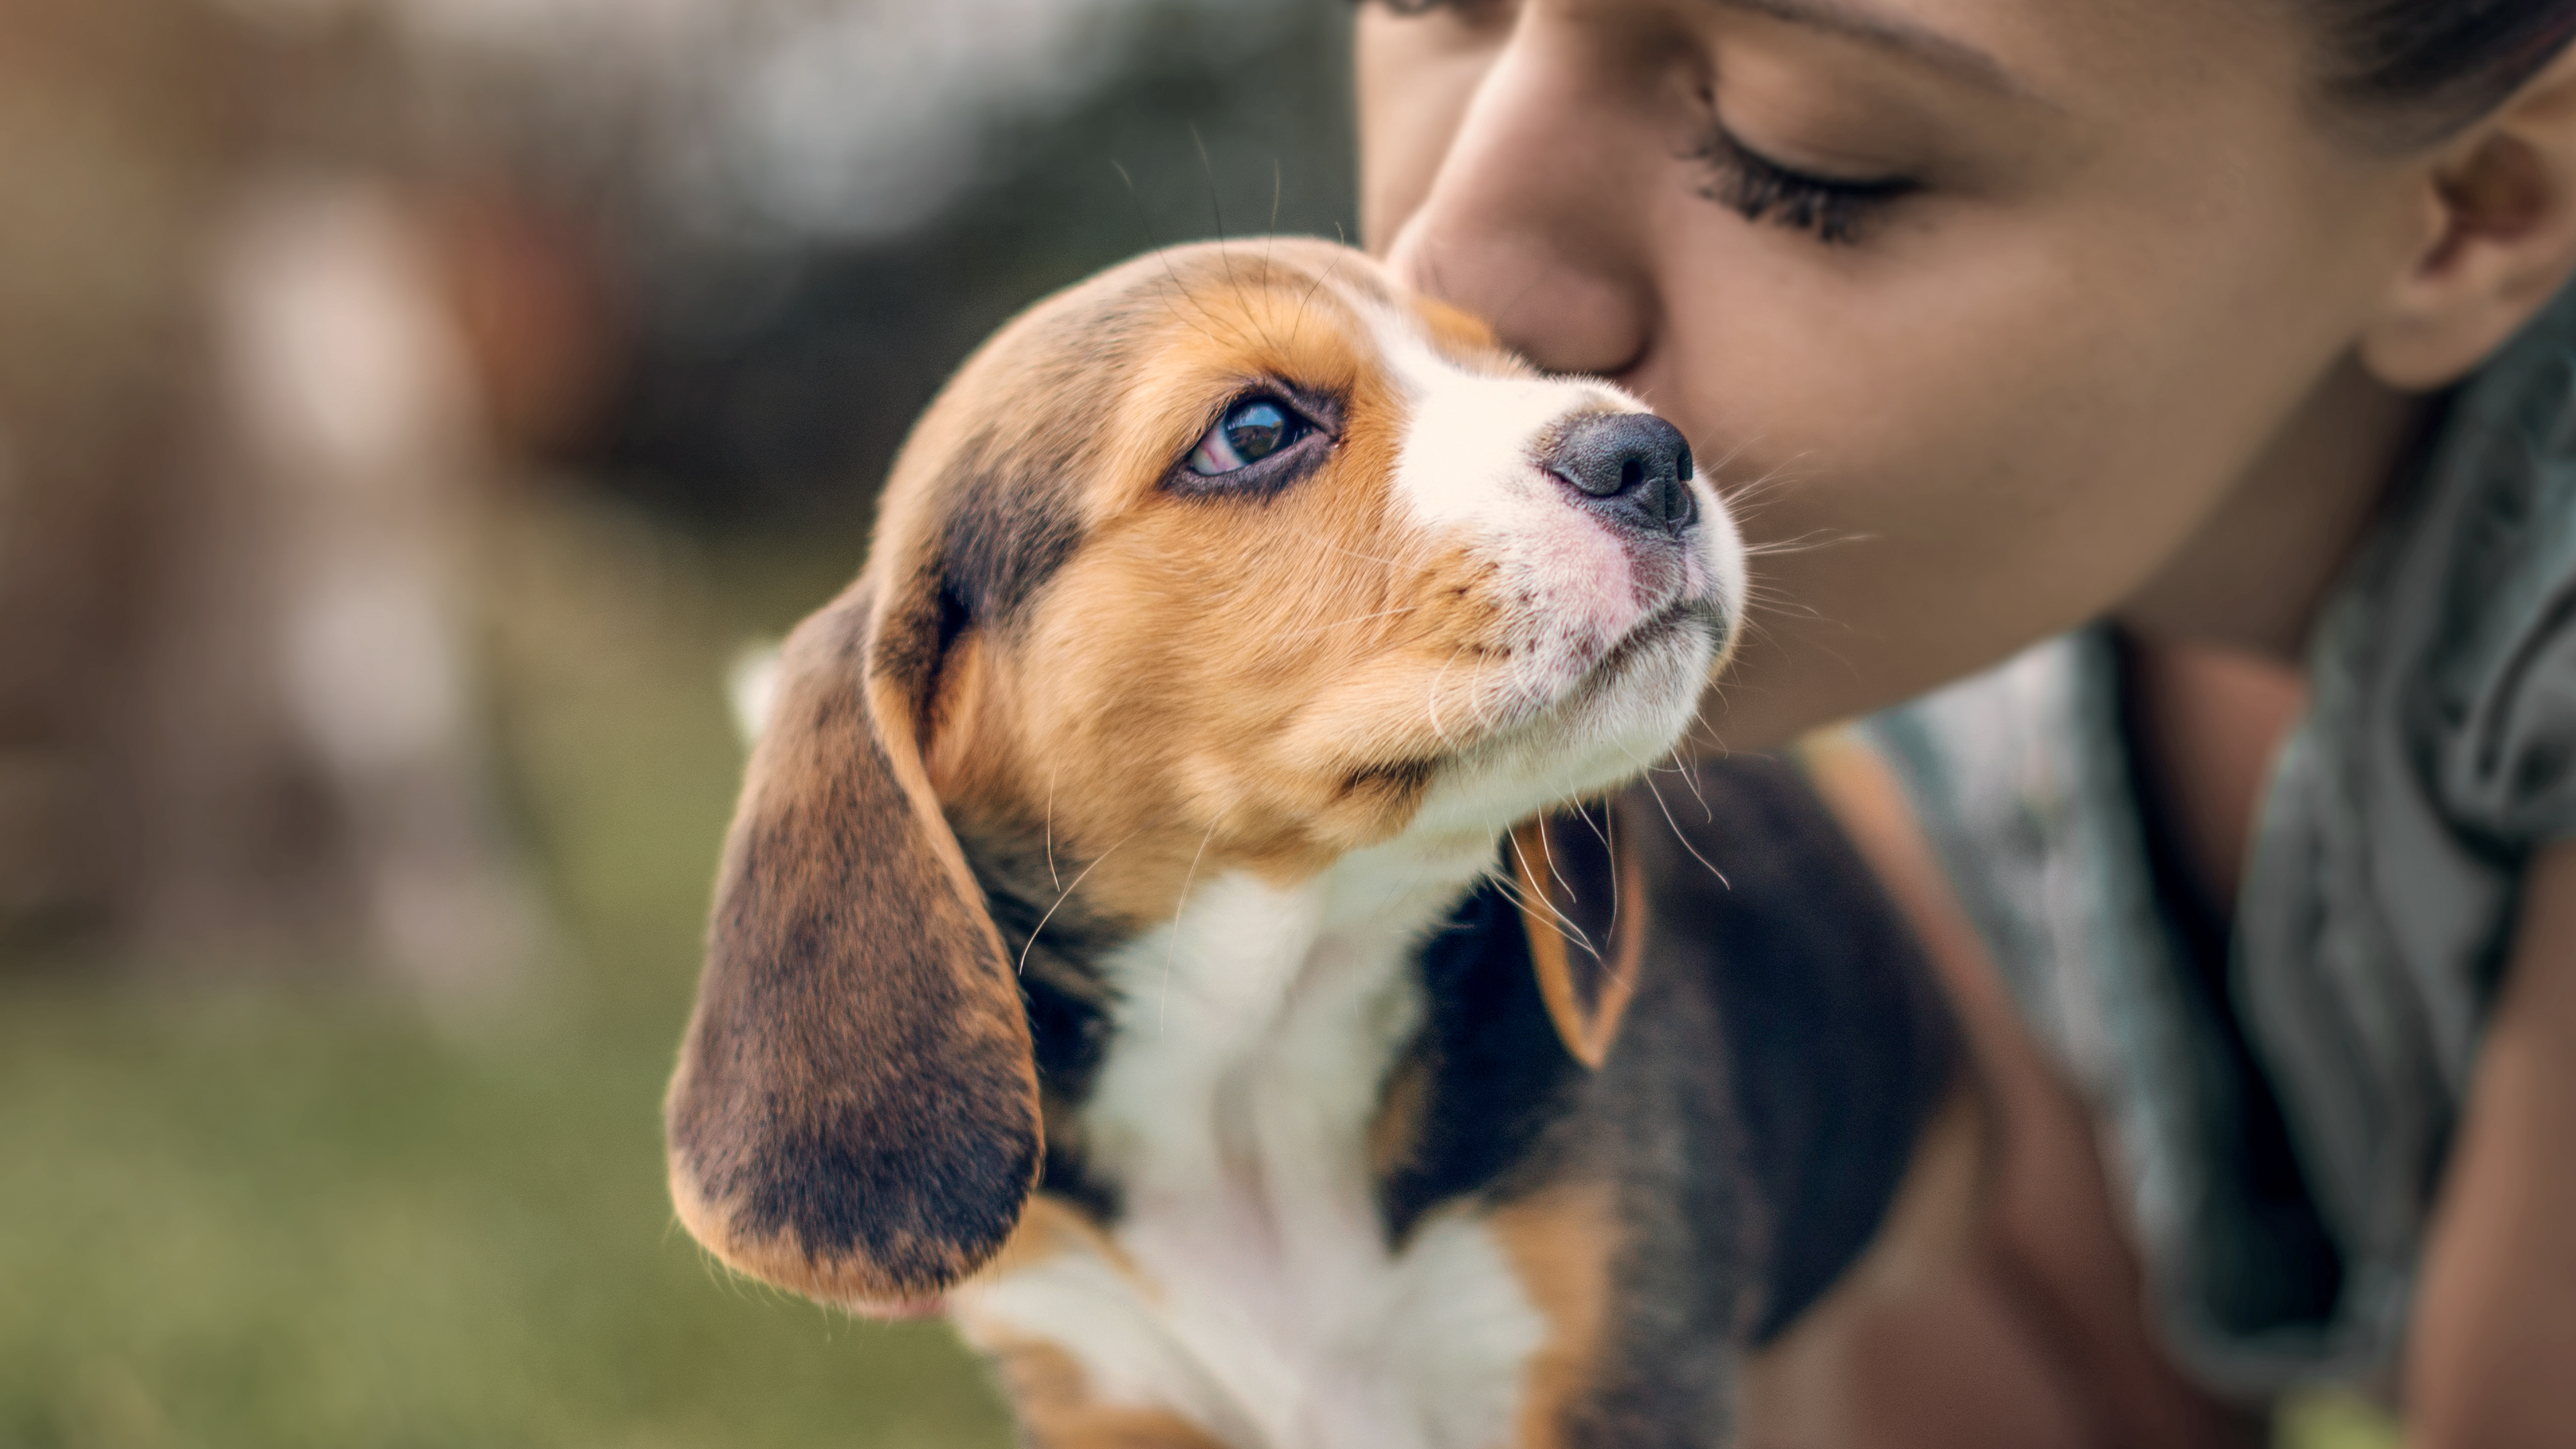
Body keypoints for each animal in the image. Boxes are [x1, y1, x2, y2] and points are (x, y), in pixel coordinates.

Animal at [664, 239, 1947, 1444]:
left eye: (1509, 364)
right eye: (1256, 430)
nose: (1651, 453)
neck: (1256, 1051)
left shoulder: (1615, 1363)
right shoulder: (1103, 1388)